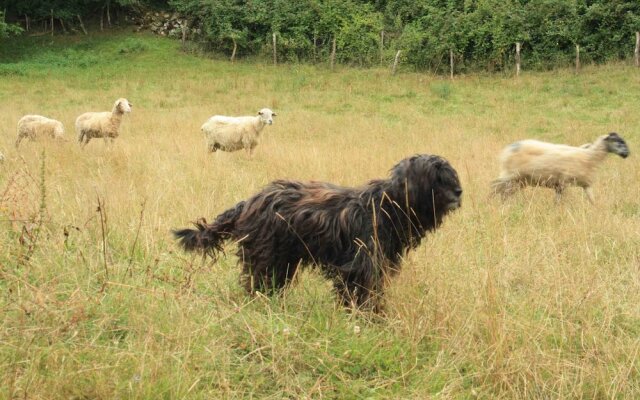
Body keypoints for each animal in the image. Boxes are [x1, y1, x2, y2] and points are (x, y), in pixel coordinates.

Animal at [172, 155, 462, 310]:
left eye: (450, 175)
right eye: (437, 177)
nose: (459, 192)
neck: (387, 205)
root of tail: (251, 200)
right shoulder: (361, 265)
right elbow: (362, 292)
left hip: (283, 260)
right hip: (268, 258)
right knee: (258, 282)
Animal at [492, 133, 628, 203]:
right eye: (618, 142)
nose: (627, 153)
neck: (589, 157)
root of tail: (510, 148)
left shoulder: (584, 184)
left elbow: (592, 200)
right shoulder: (563, 183)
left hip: (518, 180)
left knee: (502, 190)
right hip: (511, 175)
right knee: (495, 187)